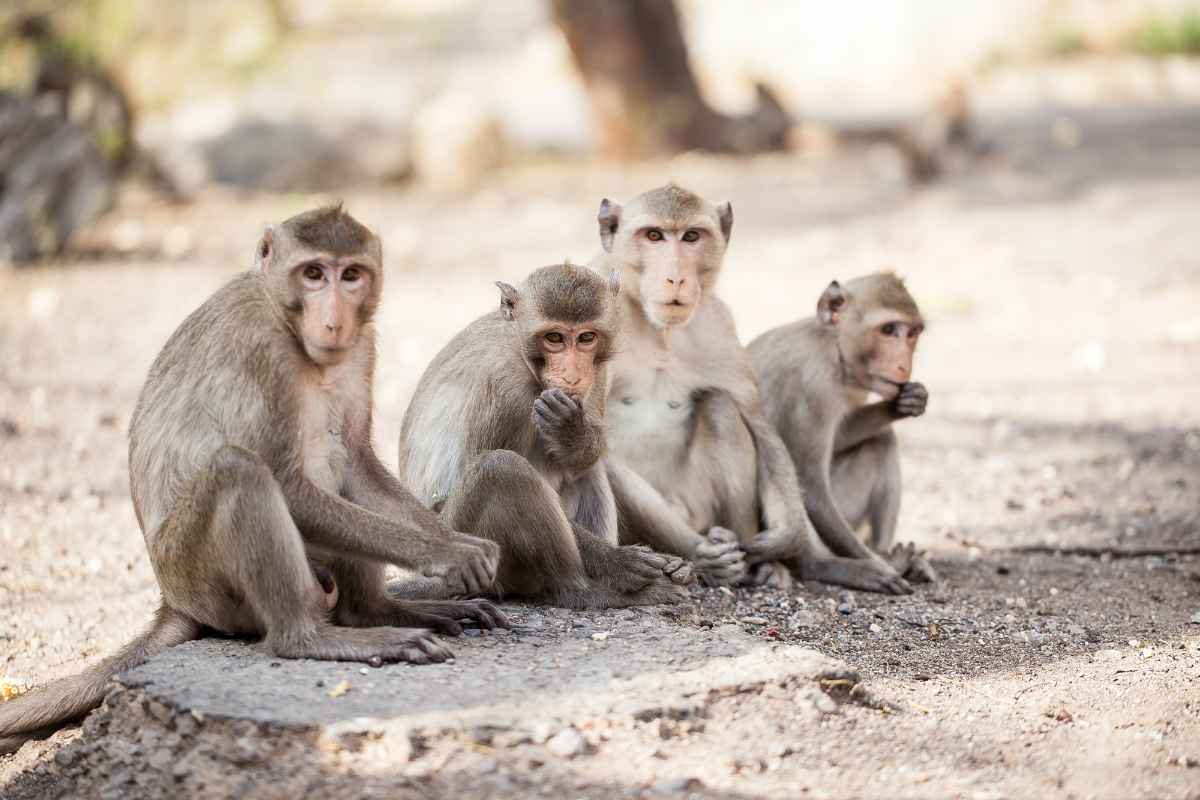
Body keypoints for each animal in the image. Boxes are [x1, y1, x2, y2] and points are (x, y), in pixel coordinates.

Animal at [0, 205, 507, 755]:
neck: (286, 319)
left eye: (351, 274)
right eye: (313, 273)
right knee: (238, 471)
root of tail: (172, 601)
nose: (334, 319)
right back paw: (313, 639)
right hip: (203, 579)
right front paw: (448, 552)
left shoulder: (362, 346)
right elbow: (286, 484)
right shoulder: (263, 350)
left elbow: (354, 462)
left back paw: (374, 611)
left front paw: (452, 539)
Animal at [397, 262, 693, 609]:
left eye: (586, 337)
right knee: (500, 469)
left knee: (585, 471)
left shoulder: (600, 371)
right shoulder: (505, 387)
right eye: (554, 338)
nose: (572, 376)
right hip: (473, 552)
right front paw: (618, 561)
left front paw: (572, 434)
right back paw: (584, 591)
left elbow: (584, 456)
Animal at [593, 185, 913, 594]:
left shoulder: (718, 323)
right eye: (653, 235)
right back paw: (710, 561)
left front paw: (786, 537)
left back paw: (758, 566)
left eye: (691, 237)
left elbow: (759, 425)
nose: (676, 279)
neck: (656, 328)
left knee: (721, 408)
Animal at [747, 272, 937, 582]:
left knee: (882, 441)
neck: (832, 348)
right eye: (888, 329)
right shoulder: (813, 388)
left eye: (912, 333)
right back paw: (830, 566)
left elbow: (841, 437)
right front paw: (879, 567)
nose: (904, 366)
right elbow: (809, 484)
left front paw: (905, 403)